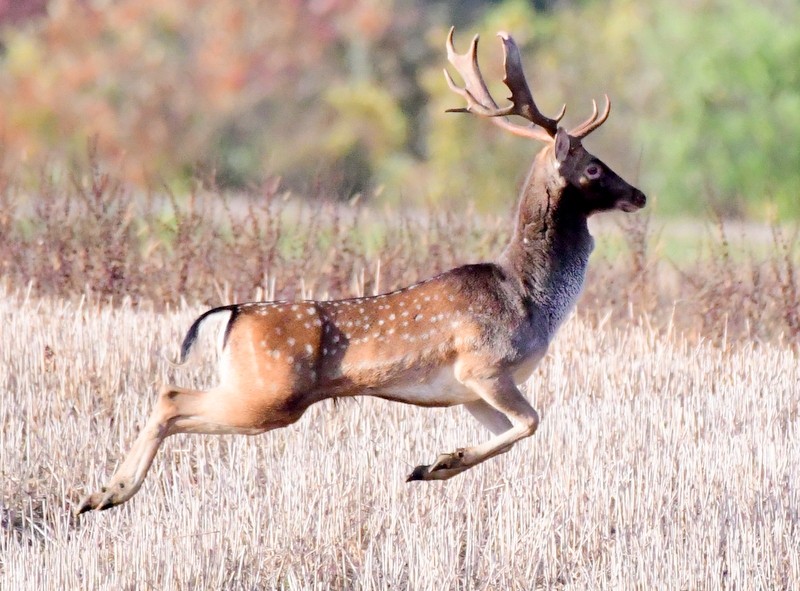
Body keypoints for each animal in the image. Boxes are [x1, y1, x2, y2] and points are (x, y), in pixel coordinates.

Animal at [78, 27, 648, 512]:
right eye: (592, 167)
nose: (639, 194)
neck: (530, 299)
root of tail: (231, 313)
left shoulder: (468, 390)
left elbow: (509, 436)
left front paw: (435, 465)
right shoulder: (484, 365)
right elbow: (532, 422)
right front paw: (438, 462)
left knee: (169, 395)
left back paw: (99, 495)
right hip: (267, 393)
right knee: (170, 396)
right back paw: (107, 494)